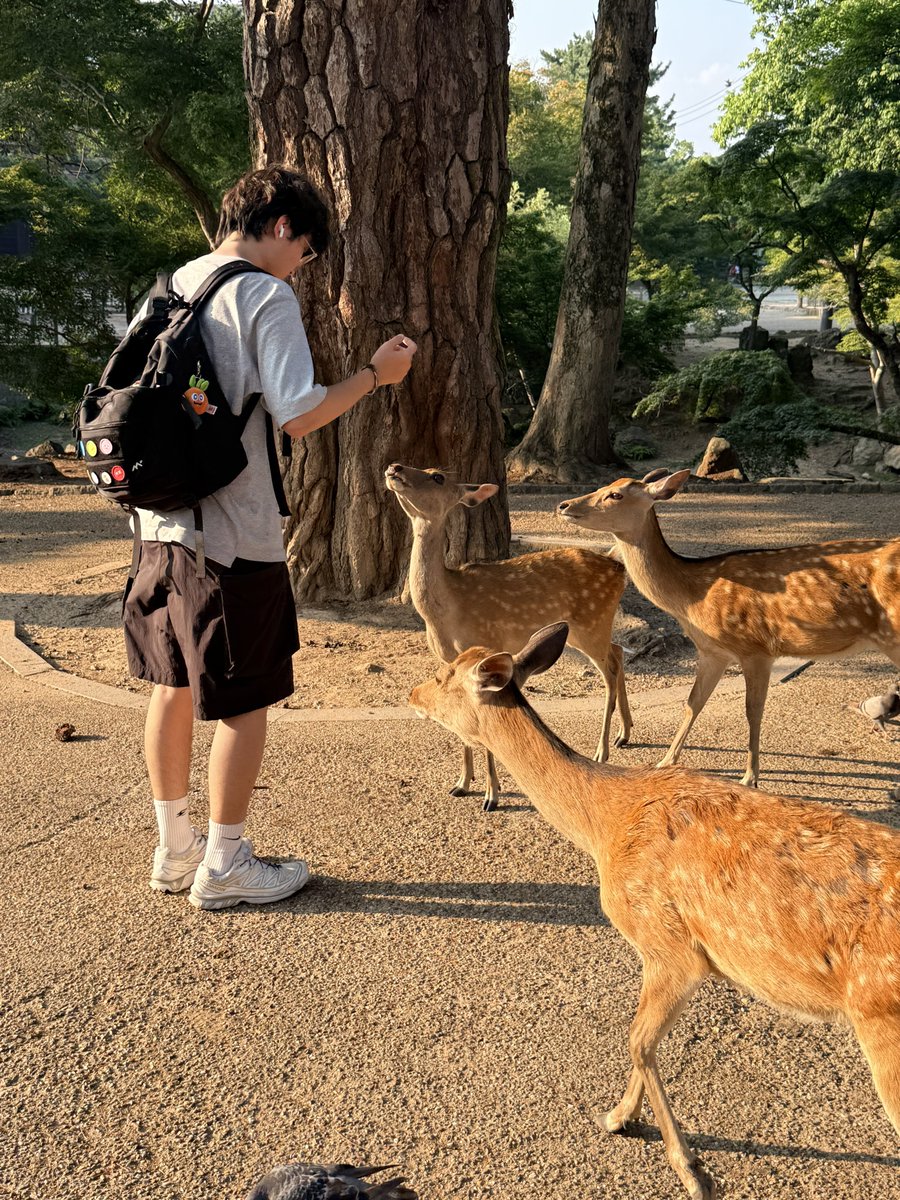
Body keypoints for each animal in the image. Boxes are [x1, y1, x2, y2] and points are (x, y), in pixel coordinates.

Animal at [385, 463, 632, 810]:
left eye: (437, 476)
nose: (395, 467)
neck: (446, 610)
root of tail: (619, 568)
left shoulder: (487, 645)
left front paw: (492, 796)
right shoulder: (449, 660)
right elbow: (461, 725)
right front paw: (461, 784)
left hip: (592, 623)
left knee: (609, 670)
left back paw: (602, 750)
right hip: (586, 630)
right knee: (619, 651)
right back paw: (625, 734)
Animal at [409, 622, 900, 1200]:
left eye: (445, 675)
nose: (411, 693)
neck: (605, 824)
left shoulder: (668, 943)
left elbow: (638, 1042)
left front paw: (685, 1166)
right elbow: (642, 1042)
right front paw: (622, 1117)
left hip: (882, 1021)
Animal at [557, 468, 900, 787]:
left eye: (615, 495)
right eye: (605, 485)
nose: (563, 505)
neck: (692, 600)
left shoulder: (756, 649)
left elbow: (752, 711)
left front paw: (749, 778)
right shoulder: (713, 652)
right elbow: (693, 703)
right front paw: (664, 762)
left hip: (892, 635)